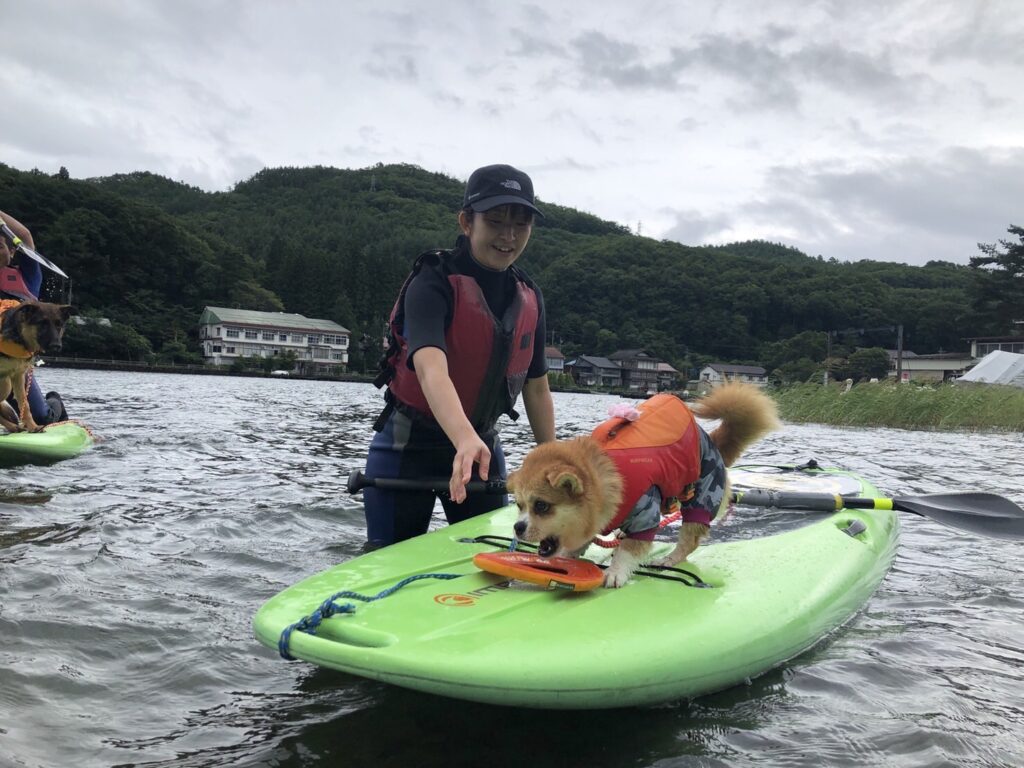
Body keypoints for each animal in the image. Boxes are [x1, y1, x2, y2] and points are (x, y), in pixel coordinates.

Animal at [0, 301, 74, 434]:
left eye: (59, 325)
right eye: (42, 323)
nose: (56, 346)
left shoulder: (19, 376)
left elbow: (25, 406)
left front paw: (32, 427)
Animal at [507, 385, 778, 589]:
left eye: (541, 506)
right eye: (519, 505)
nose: (517, 527)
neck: (604, 478)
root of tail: (712, 442)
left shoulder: (644, 513)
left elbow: (630, 549)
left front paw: (615, 572)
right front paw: (567, 558)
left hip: (702, 496)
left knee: (690, 538)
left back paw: (670, 558)